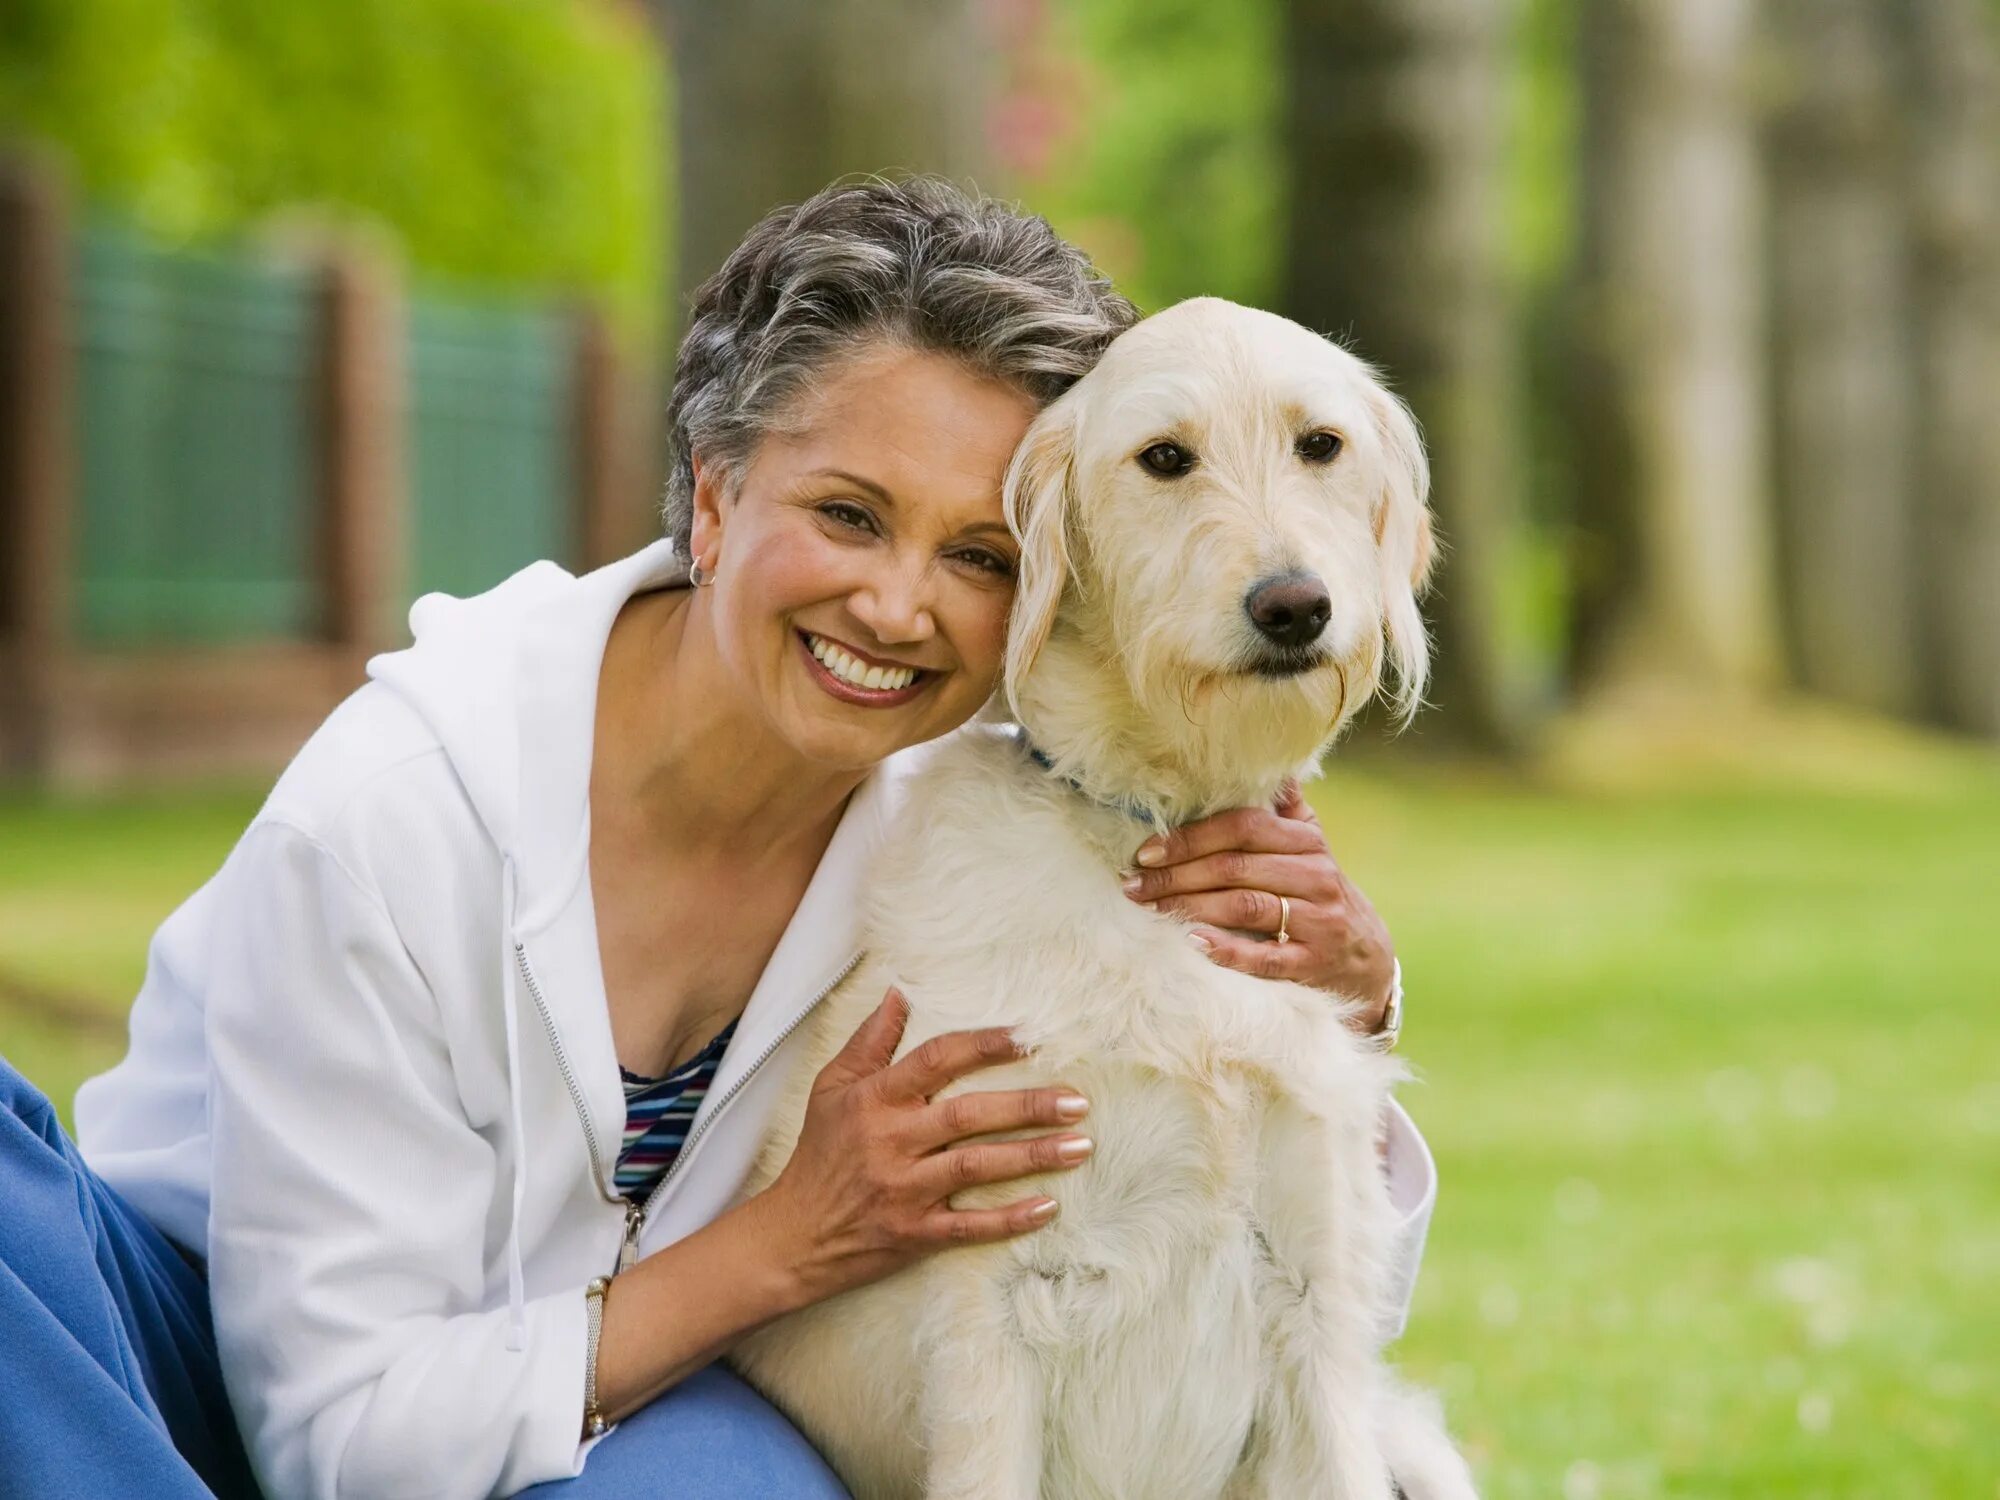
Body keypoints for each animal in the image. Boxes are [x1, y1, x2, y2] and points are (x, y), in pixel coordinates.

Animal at [732, 296, 1472, 1500]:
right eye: (1163, 458)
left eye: (1320, 444)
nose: (1293, 606)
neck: (1147, 828)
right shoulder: (990, 1305)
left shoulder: (1318, 1300)